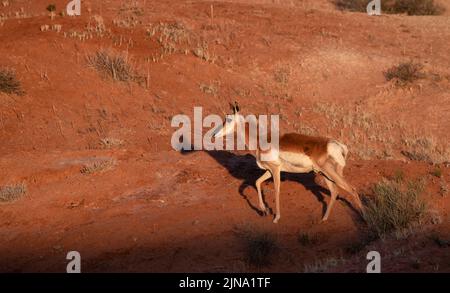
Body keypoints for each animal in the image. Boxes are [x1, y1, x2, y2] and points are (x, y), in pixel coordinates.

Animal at [213, 101, 364, 222]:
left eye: (229, 119)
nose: (215, 134)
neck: (260, 141)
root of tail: (337, 145)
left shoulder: (275, 170)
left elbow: (276, 190)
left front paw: (276, 218)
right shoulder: (269, 171)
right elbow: (257, 182)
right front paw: (264, 210)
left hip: (331, 174)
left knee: (351, 189)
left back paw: (364, 219)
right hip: (326, 175)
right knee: (335, 192)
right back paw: (324, 219)